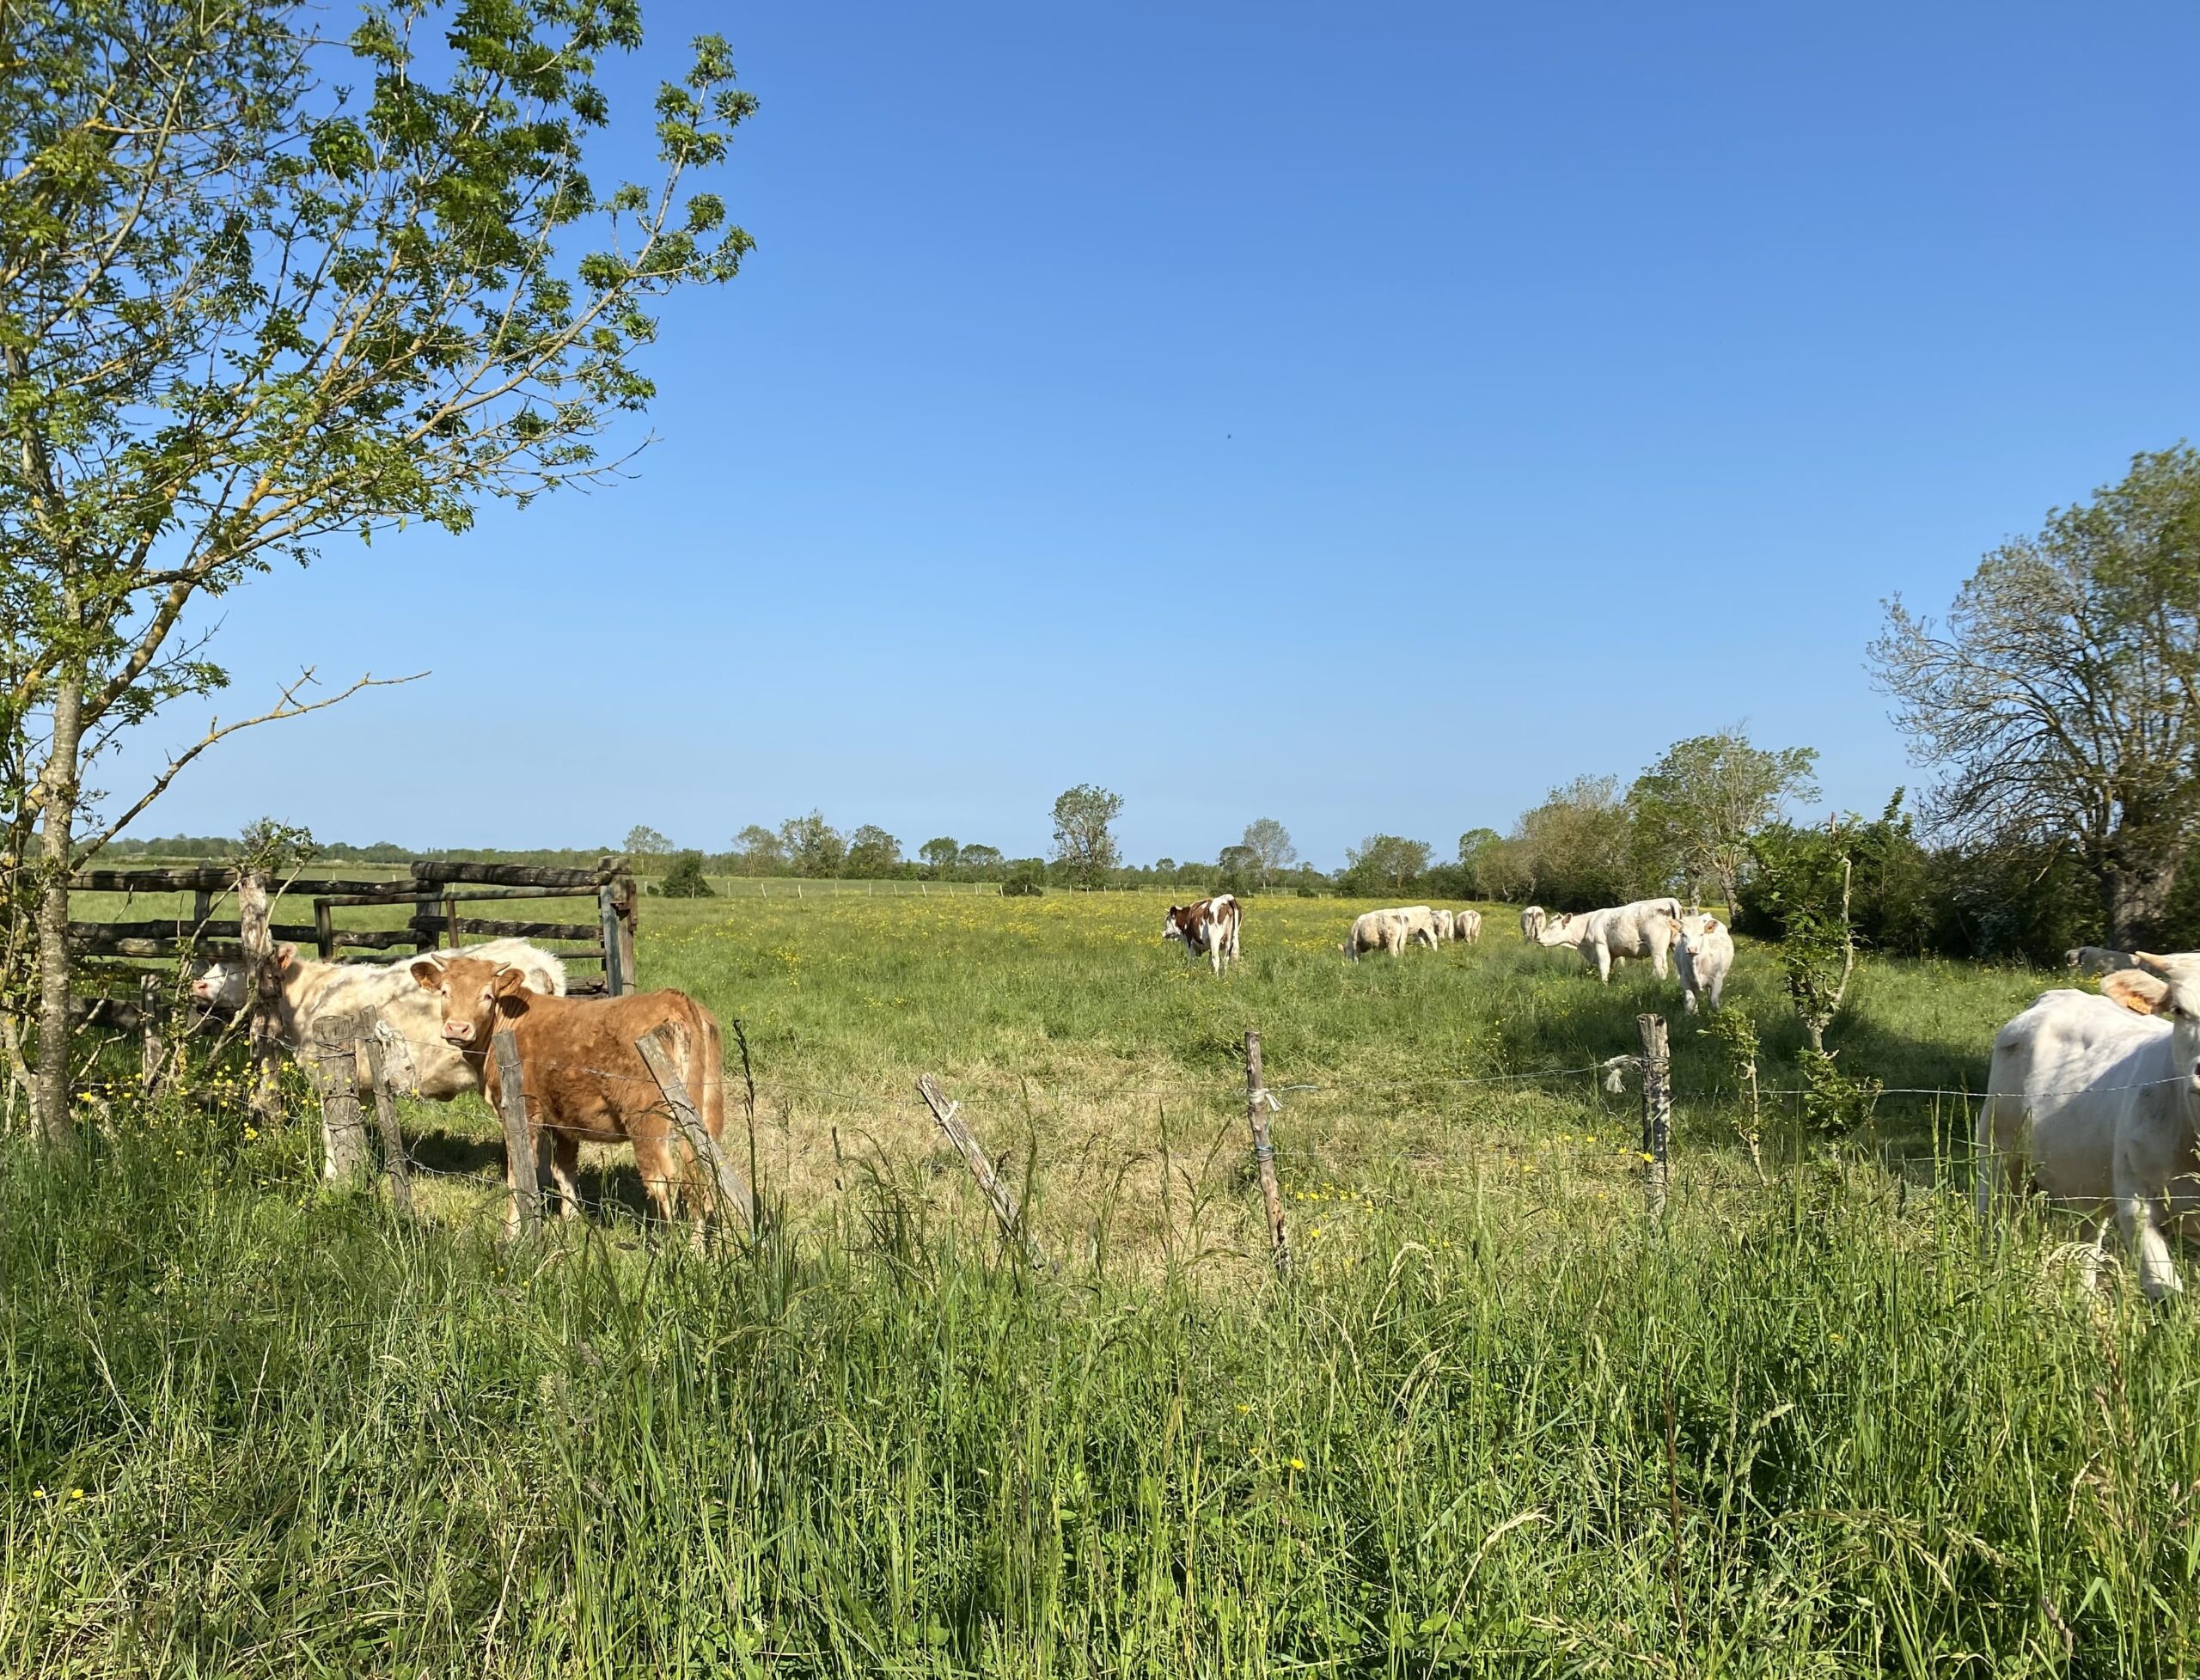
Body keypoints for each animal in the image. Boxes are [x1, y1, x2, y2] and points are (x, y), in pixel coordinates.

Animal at [413, 955, 728, 1235]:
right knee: (702, 1175)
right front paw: (571, 1223)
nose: (458, 1028)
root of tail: (675, 999)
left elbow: (519, 1174)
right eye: (445, 991)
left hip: (647, 1122)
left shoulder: (523, 1113)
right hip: (704, 1115)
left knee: (664, 1180)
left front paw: (512, 1234)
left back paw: (668, 1245)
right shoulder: (563, 1120)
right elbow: (563, 1172)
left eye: (487, 996)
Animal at [1534, 898, 1678, 983]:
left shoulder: (1600, 945)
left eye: (1552, 927)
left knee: (1661, 968)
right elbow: (1610, 967)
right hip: (1675, 945)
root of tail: (1669, 900)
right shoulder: (1612, 953)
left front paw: (1604, 985)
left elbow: (1603, 967)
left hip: (1657, 949)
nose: (1538, 939)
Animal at [1974, 954, 2200, 1300]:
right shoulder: (2136, 1201)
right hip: (1998, 1146)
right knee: (1993, 1218)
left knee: (2086, 1249)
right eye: (2179, 1009)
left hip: (2089, 1185)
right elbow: (2165, 1293)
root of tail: (2059, 995)